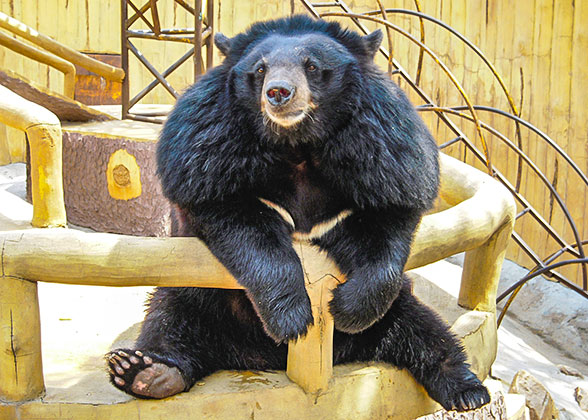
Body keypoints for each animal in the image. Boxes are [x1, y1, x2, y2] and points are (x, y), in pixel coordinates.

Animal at [107, 14, 492, 412]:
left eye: (312, 67)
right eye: (260, 70)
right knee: (169, 322)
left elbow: (386, 223)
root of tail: (258, 359)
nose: (278, 93)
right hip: (196, 294)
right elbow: (240, 222)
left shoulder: (383, 153)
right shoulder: (208, 152)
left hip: (398, 308)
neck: (298, 145)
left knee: (426, 331)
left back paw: (468, 390)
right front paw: (292, 318)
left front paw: (346, 308)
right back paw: (146, 372)